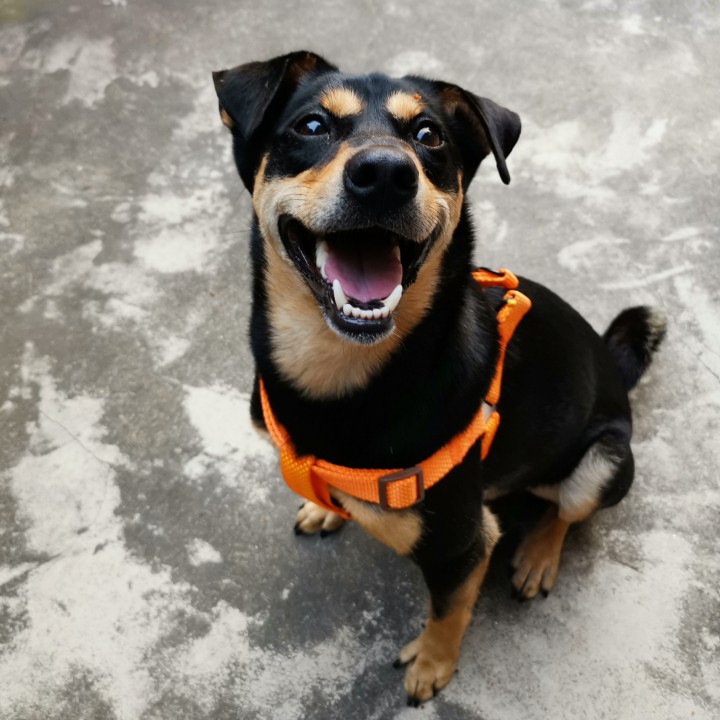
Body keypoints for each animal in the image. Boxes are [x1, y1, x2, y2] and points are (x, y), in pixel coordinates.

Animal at [212, 51, 666, 705]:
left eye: (430, 137)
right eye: (312, 126)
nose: (384, 173)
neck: (342, 373)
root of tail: (612, 366)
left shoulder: (462, 543)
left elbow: (449, 611)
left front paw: (431, 666)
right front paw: (328, 508)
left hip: (604, 461)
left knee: (565, 509)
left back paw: (538, 555)